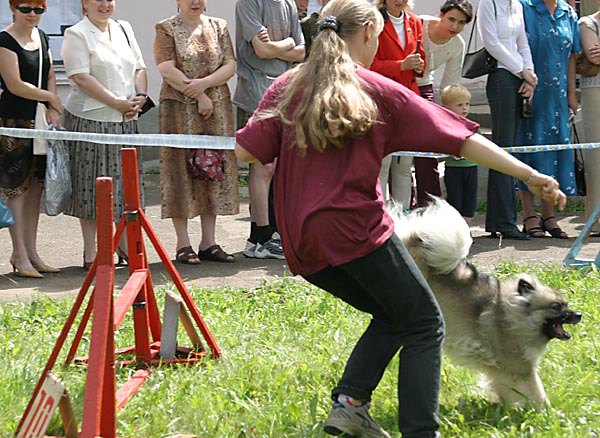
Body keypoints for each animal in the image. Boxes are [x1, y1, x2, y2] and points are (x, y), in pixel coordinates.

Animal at [394, 199, 580, 408]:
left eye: (566, 304)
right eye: (556, 307)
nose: (578, 315)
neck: (517, 315)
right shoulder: (520, 367)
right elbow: (536, 391)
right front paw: (546, 410)